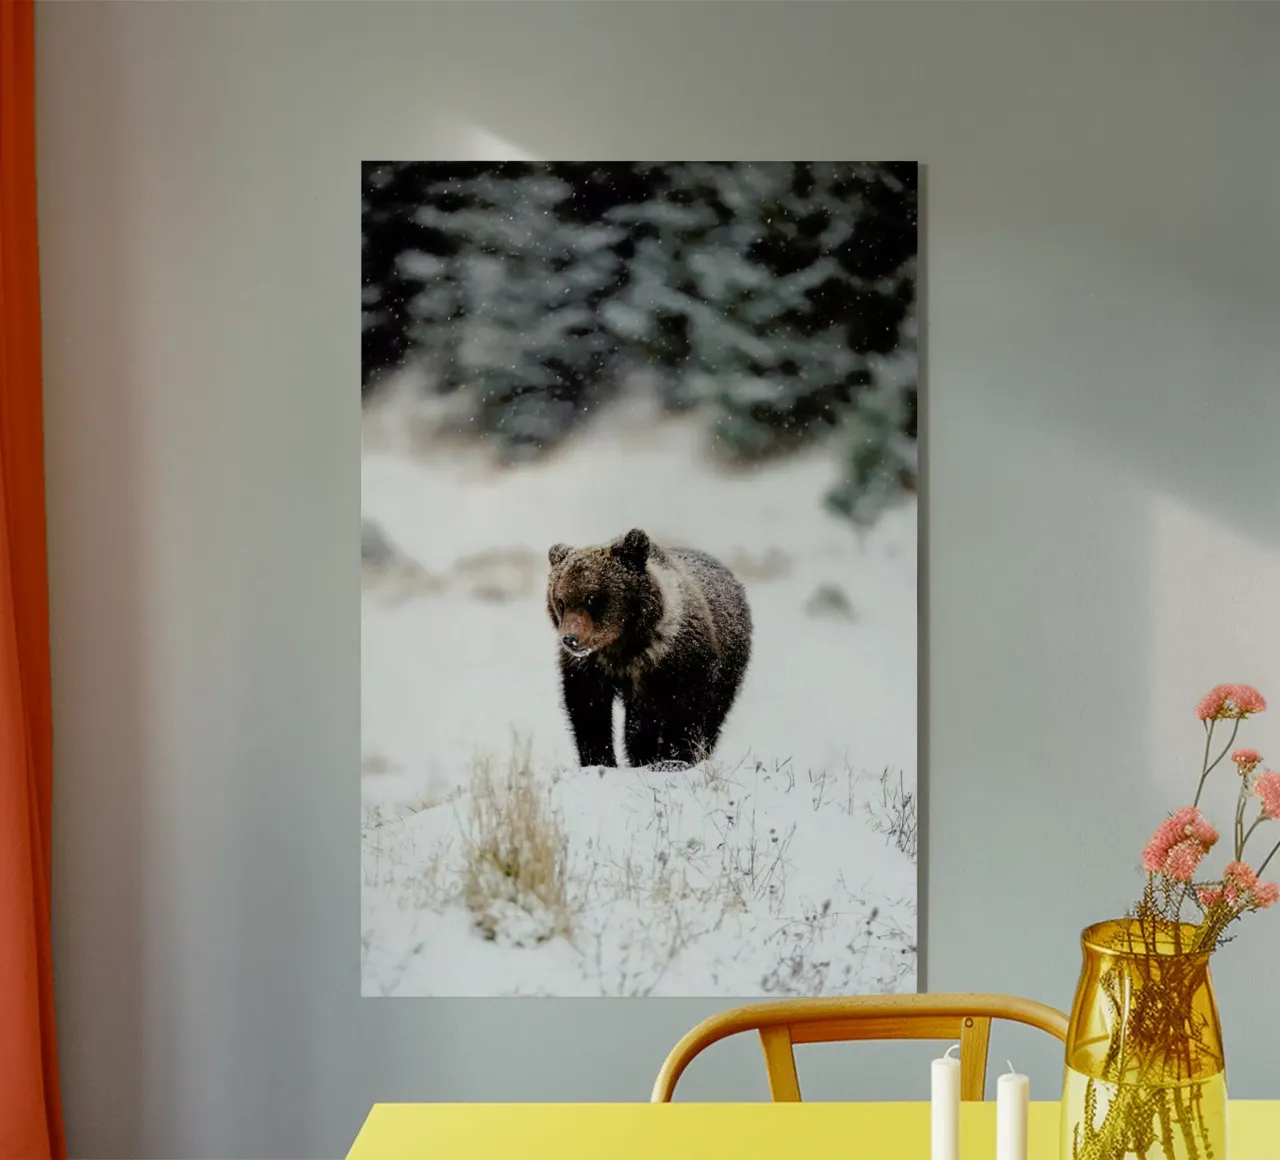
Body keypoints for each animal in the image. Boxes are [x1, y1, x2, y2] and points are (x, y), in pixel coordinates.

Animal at [545, 528, 752, 769]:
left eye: (592, 598)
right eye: (561, 601)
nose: (571, 639)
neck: (623, 648)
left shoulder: (678, 662)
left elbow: (684, 712)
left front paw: (674, 759)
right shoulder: (590, 668)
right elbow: (589, 712)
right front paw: (601, 760)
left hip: (730, 667)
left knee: (714, 715)